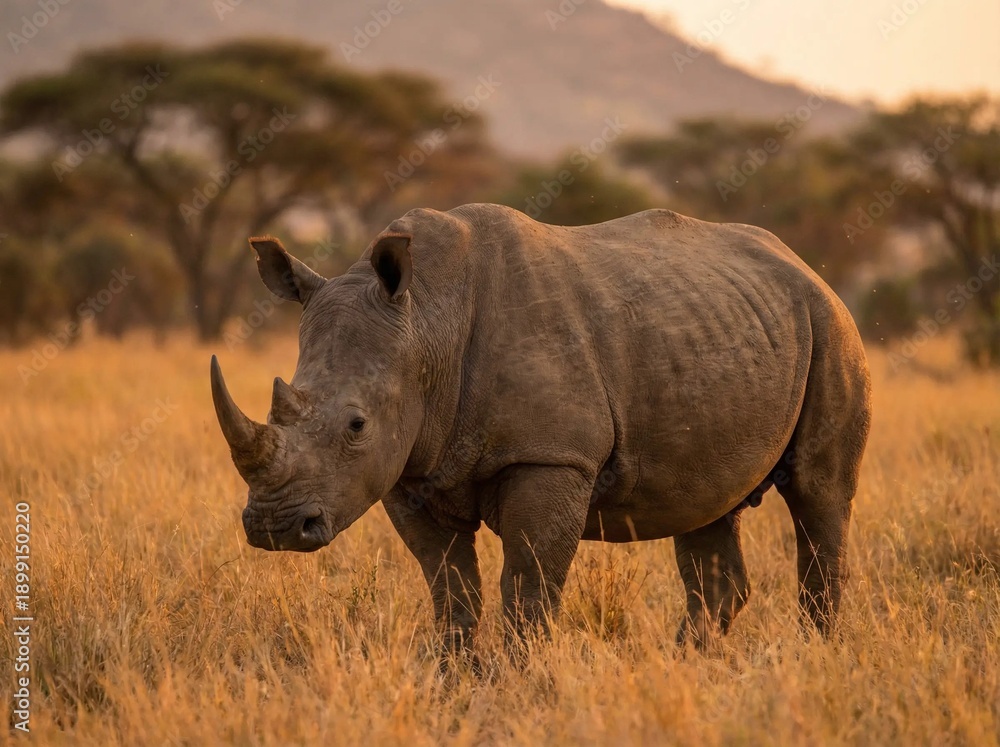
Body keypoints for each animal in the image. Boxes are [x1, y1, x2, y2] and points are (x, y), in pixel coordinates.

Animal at [211, 203, 871, 656]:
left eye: (356, 425)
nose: (273, 528)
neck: (427, 320)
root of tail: (805, 268)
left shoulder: (550, 456)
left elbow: (528, 584)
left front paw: (516, 683)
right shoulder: (409, 468)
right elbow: (450, 588)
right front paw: (455, 681)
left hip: (833, 329)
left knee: (819, 494)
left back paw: (815, 659)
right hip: (724, 328)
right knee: (707, 507)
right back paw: (689, 667)